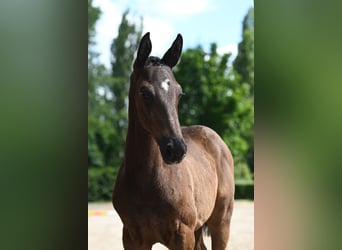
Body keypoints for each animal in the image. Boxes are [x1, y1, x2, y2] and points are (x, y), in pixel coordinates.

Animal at [113, 32, 235, 249]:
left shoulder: (182, 235)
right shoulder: (131, 237)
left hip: (221, 222)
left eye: (179, 92)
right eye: (144, 92)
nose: (176, 149)